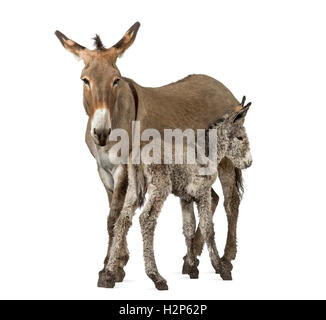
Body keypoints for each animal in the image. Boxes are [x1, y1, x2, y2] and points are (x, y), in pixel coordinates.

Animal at [100, 105, 251, 290]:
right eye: (240, 137)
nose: (249, 162)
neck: (207, 153)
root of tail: (139, 151)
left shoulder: (186, 198)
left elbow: (188, 228)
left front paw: (192, 268)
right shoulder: (203, 193)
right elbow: (208, 228)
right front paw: (221, 268)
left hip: (133, 189)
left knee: (123, 221)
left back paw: (108, 275)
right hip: (160, 187)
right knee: (146, 219)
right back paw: (156, 276)